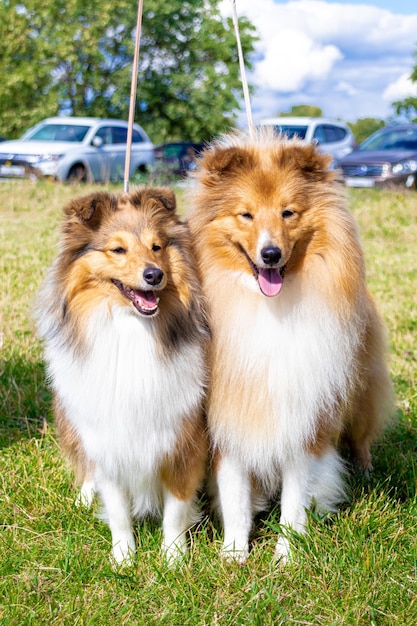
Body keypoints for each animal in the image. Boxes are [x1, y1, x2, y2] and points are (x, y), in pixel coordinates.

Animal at [36, 188, 208, 564]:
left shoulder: (182, 438)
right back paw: (86, 496)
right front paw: (124, 558)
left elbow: (176, 509)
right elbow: (116, 509)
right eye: (117, 250)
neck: (130, 327)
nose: (154, 275)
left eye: (157, 247)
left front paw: (173, 559)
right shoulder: (108, 437)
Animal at [187, 129, 392, 564]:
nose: (270, 254)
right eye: (246, 215)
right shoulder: (229, 415)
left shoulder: (306, 418)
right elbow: (234, 493)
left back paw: (365, 470)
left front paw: (286, 553)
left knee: (362, 435)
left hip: (359, 390)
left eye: (288, 213)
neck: (269, 308)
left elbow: (296, 497)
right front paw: (234, 553)